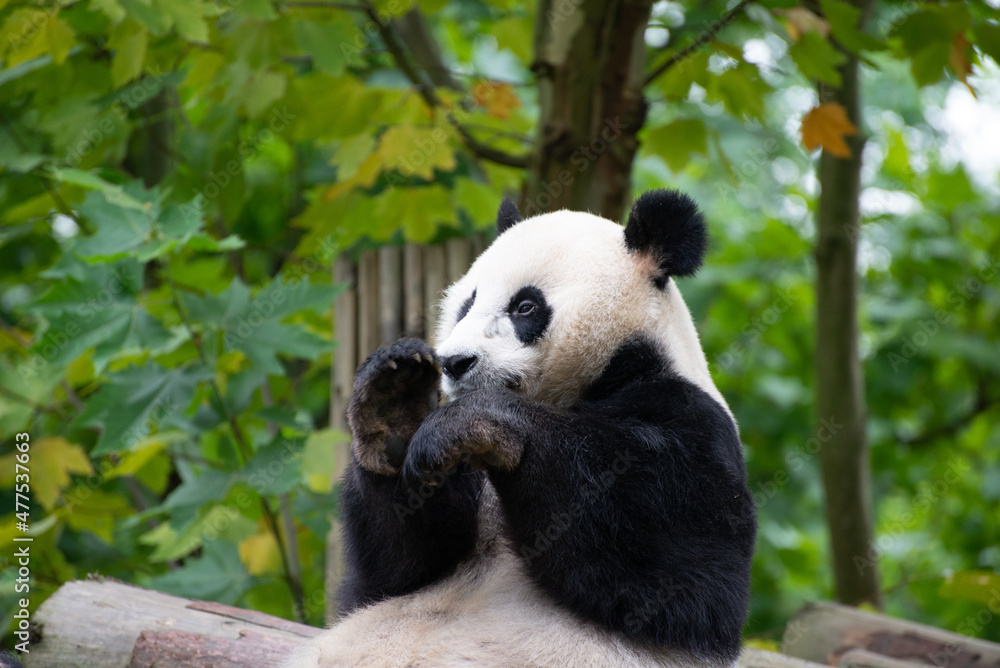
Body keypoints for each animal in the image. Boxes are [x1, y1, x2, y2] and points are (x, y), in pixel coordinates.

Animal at [287, 189, 756, 668]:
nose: (455, 362)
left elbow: (681, 570)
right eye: (467, 303)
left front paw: (481, 421)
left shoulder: (692, 419)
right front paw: (395, 404)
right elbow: (393, 574)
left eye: (525, 306)